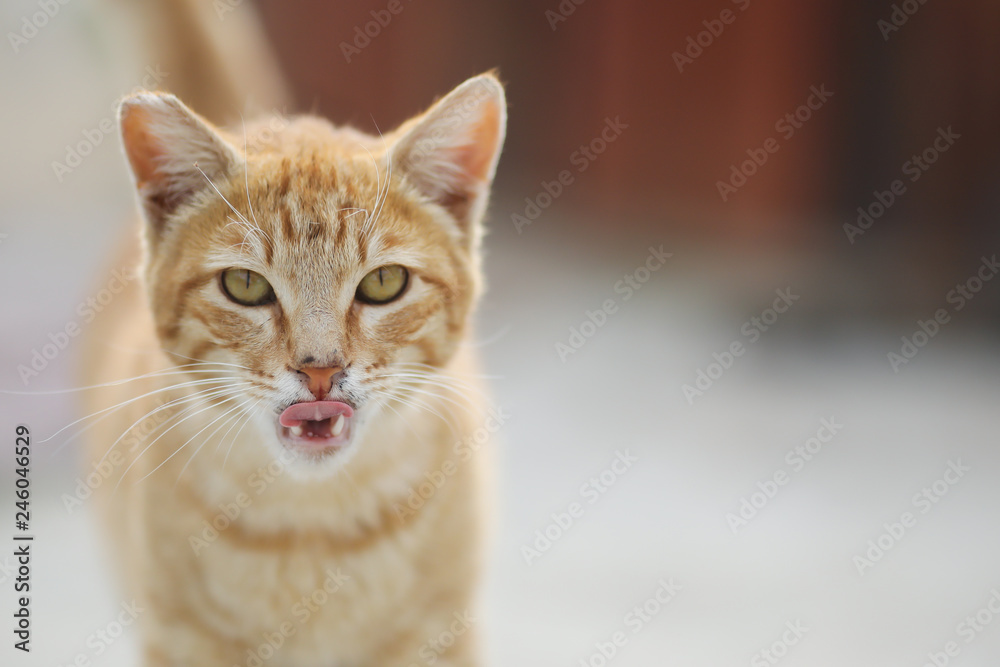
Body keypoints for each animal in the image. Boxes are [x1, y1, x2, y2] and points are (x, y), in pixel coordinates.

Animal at [80, 69, 508, 667]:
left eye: (384, 282)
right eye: (245, 285)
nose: (320, 369)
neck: (311, 527)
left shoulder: (440, 633)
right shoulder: (180, 636)